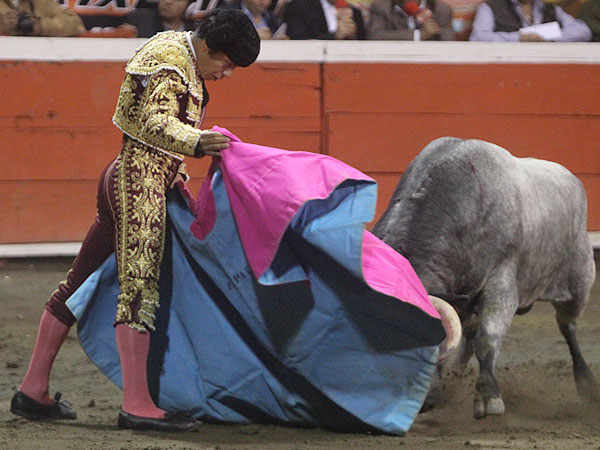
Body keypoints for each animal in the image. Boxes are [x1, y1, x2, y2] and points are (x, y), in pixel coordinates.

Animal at [372, 136, 596, 418]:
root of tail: (572, 179)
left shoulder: (501, 287)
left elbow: (487, 339)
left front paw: (489, 398)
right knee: (467, 337)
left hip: (579, 282)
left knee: (568, 326)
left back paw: (587, 384)